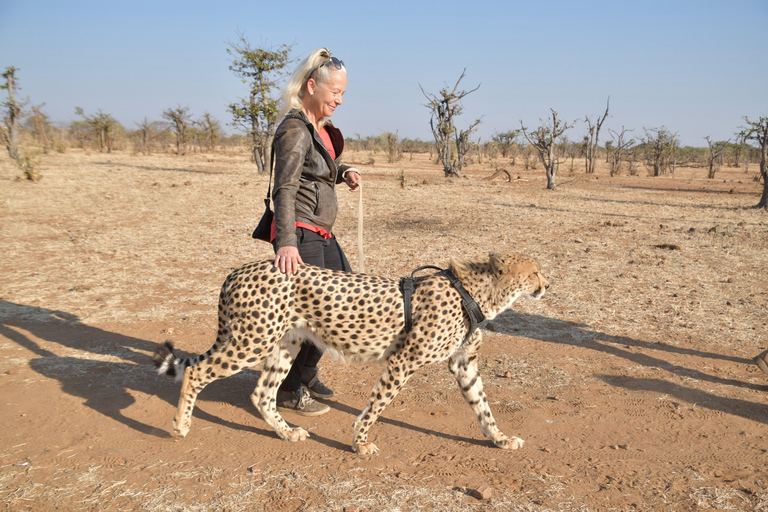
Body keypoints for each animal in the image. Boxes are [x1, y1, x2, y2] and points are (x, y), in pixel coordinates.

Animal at [154, 252, 544, 456]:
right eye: (536, 272)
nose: (546, 285)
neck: (476, 293)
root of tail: (239, 270)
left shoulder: (464, 364)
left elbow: (483, 407)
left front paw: (500, 439)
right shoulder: (403, 361)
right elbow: (376, 406)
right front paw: (360, 443)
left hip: (285, 344)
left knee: (262, 394)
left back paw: (288, 433)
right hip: (251, 341)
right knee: (196, 372)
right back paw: (180, 426)